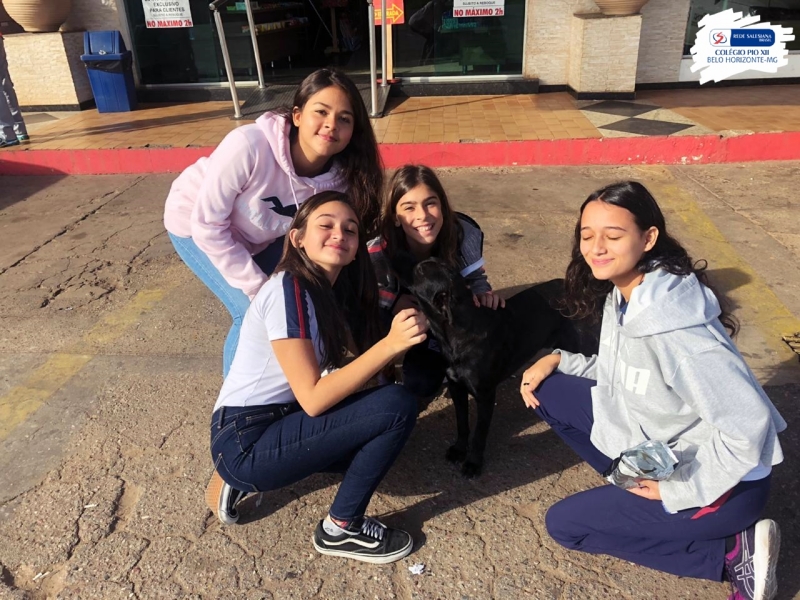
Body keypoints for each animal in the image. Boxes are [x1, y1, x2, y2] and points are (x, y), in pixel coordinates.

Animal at [404, 257, 598, 477]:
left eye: (421, 270)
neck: (459, 332)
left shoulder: (486, 395)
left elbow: (479, 433)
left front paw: (473, 463)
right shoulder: (456, 387)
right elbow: (462, 423)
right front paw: (459, 449)